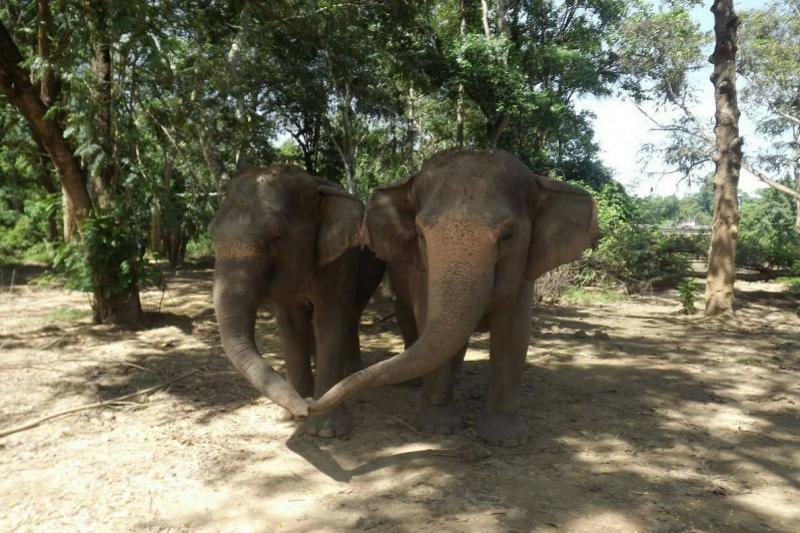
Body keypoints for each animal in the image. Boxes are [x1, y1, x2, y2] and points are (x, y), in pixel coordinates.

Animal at [210, 165, 384, 437]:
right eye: (211, 233)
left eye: (276, 237)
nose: (306, 407)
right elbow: (291, 326)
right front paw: (290, 417)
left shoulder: (339, 259)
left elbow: (330, 320)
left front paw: (326, 431)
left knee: (351, 314)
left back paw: (351, 372)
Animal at [307, 150, 598, 446]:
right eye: (421, 234)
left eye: (508, 235)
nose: (308, 403)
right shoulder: (422, 270)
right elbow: (429, 323)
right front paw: (438, 428)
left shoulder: (524, 274)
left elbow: (513, 333)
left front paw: (507, 439)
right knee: (407, 316)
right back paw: (417, 382)